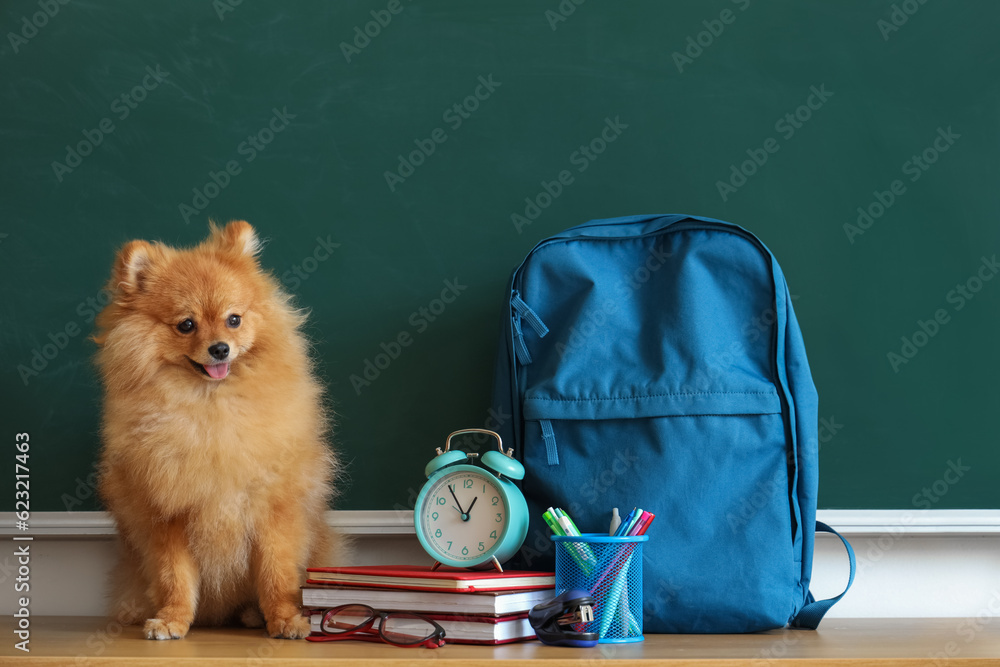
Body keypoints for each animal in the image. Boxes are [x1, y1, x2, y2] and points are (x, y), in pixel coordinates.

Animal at [95, 222, 342, 640]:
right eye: (186, 325)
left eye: (234, 319)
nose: (221, 349)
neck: (211, 408)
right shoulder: (167, 515)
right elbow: (175, 576)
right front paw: (173, 620)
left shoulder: (272, 508)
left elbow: (277, 572)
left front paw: (285, 619)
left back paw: (255, 615)